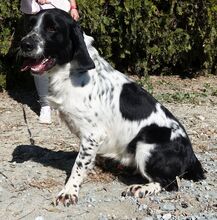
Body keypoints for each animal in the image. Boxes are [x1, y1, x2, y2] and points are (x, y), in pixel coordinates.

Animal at [19, 9, 205, 206]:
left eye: (52, 28)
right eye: (31, 25)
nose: (24, 44)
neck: (72, 72)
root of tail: (191, 155)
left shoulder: (93, 135)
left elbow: (78, 166)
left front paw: (69, 192)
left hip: (146, 146)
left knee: (170, 183)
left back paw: (139, 188)